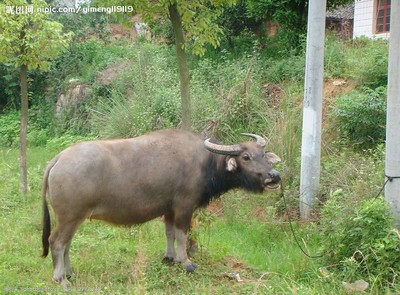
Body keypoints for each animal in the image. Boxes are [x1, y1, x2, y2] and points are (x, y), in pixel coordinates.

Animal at [39, 129, 278, 286]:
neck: (204, 163)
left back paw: (69, 273)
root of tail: (58, 159)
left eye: (263, 155)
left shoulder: (168, 210)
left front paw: (169, 257)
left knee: (66, 244)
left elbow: (169, 233)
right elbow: (182, 234)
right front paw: (186, 262)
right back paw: (61, 279)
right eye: (246, 157)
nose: (273, 175)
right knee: (57, 242)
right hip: (69, 216)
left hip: (72, 218)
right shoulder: (184, 207)